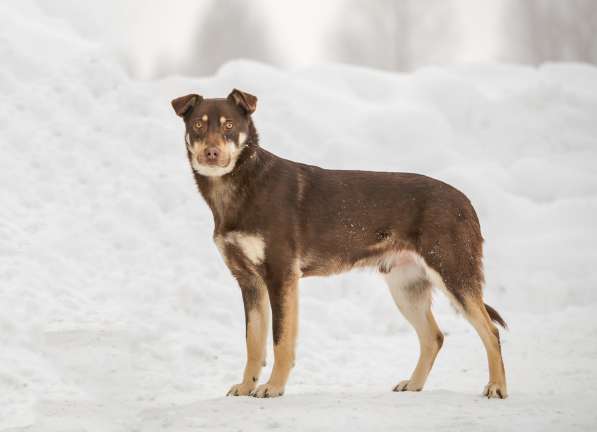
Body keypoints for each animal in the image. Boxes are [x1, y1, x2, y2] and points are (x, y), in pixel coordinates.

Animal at [171, 89, 508, 400]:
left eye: (229, 125)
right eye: (198, 125)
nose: (211, 153)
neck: (240, 185)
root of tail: (465, 201)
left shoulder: (281, 277)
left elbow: (281, 341)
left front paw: (274, 387)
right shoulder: (248, 281)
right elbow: (253, 343)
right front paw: (246, 387)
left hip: (453, 275)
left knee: (489, 331)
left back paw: (497, 387)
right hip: (406, 287)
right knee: (433, 337)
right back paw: (414, 385)